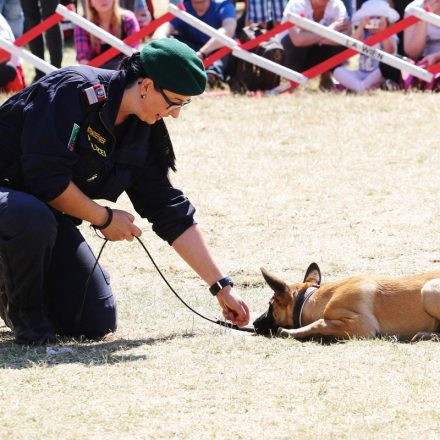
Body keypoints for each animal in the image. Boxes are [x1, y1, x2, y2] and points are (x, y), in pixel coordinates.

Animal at [253, 262, 440, 342]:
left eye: (270, 305)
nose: (254, 323)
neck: (311, 299)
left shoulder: (362, 326)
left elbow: (319, 322)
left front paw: (290, 332)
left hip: (428, 290)